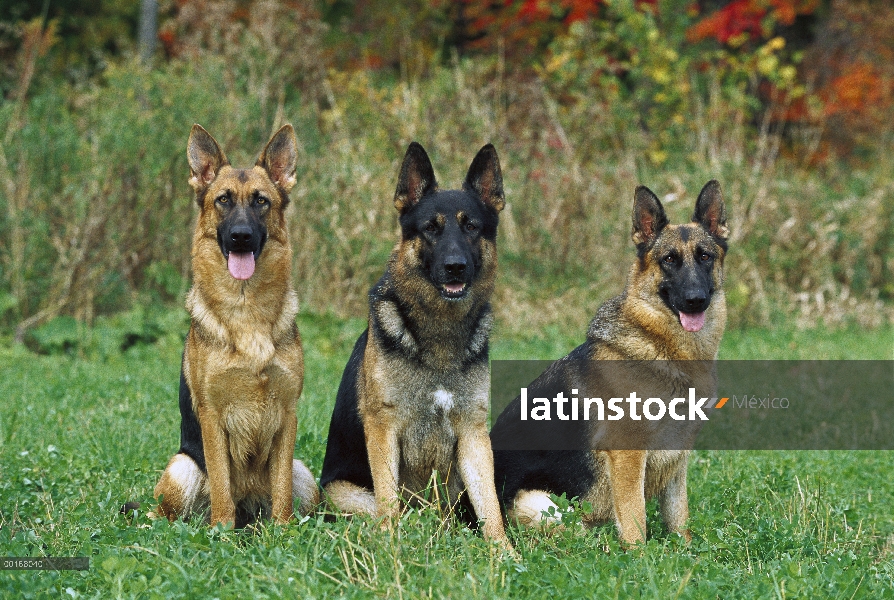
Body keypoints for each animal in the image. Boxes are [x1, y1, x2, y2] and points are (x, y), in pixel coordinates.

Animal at [152, 124, 320, 528]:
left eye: (261, 201)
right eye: (223, 200)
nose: (240, 235)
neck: (246, 312)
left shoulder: (287, 415)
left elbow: (281, 491)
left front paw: (283, 530)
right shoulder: (212, 417)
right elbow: (222, 483)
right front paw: (223, 531)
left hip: (304, 474)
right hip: (182, 467)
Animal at [316, 141, 512, 548]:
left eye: (471, 227)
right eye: (430, 229)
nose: (455, 266)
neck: (440, 333)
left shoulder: (473, 435)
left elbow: (491, 508)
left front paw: (506, 555)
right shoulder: (383, 428)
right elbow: (388, 499)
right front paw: (392, 551)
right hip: (343, 492)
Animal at [490, 180, 728, 548]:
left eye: (705, 256)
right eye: (669, 260)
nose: (695, 300)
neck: (662, 348)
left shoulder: (678, 457)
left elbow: (679, 517)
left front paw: (685, 552)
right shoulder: (628, 456)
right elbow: (635, 520)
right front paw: (642, 558)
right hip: (546, 507)